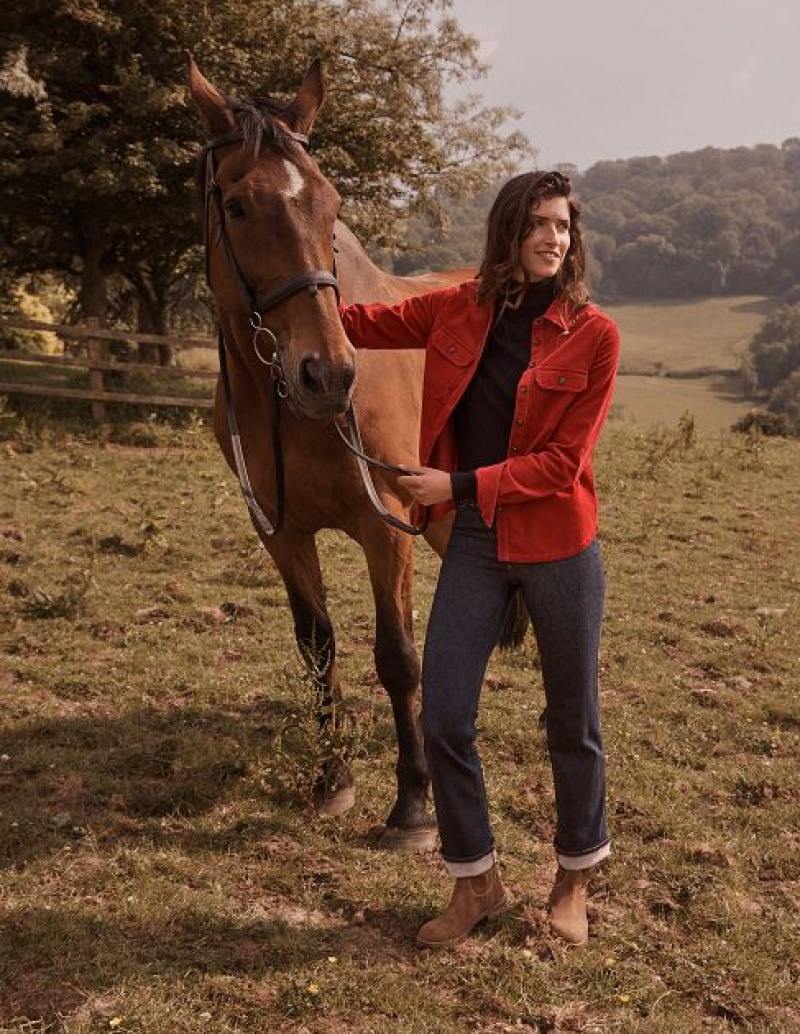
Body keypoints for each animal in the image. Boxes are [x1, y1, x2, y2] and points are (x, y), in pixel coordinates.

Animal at [189, 54, 481, 847]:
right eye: (237, 207)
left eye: (330, 202)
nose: (328, 374)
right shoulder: (282, 533)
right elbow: (317, 647)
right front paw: (333, 779)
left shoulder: (386, 527)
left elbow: (397, 657)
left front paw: (413, 805)